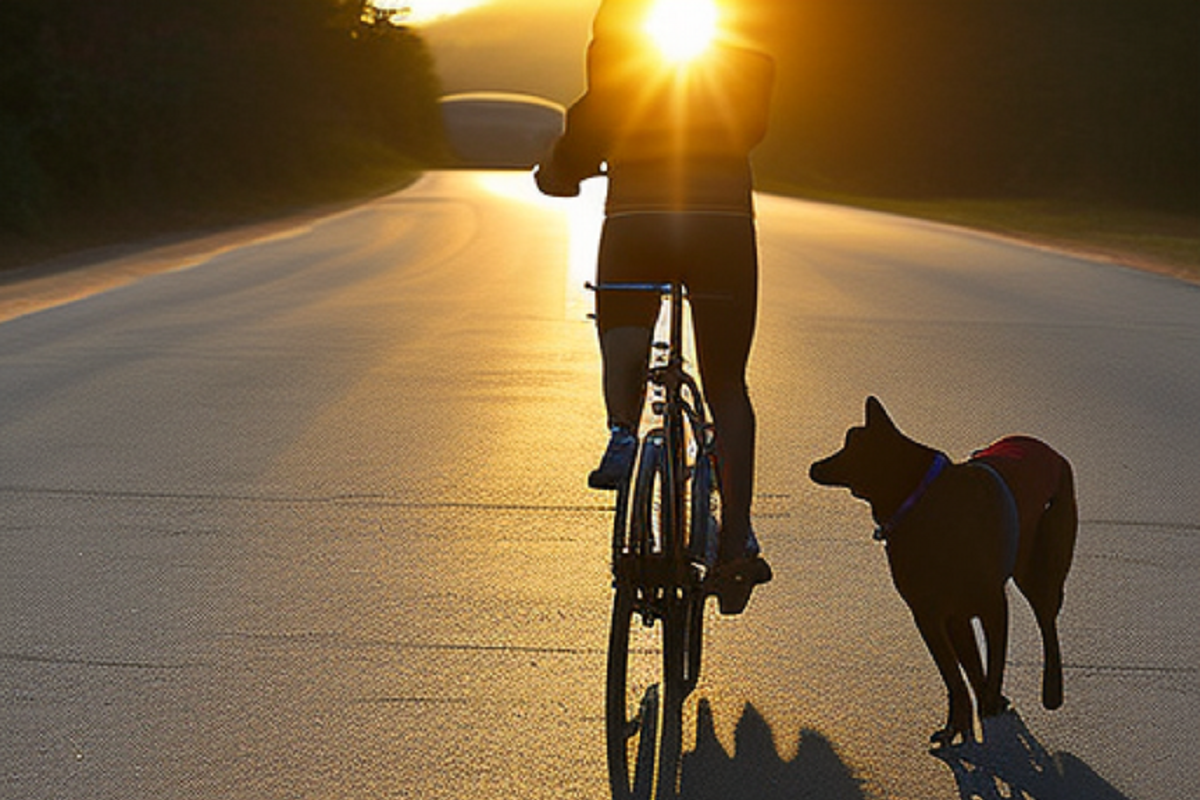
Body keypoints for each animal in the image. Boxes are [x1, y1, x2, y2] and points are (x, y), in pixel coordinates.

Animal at [806, 398, 1080, 748]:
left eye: (851, 445)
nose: (813, 466)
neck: (923, 502)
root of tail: (1048, 449)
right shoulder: (931, 615)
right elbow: (957, 678)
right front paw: (959, 725)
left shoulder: (990, 605)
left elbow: (992, 664)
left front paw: (988, 710)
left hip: (1041, 564)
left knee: (1046, 621)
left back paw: (1050, 691)